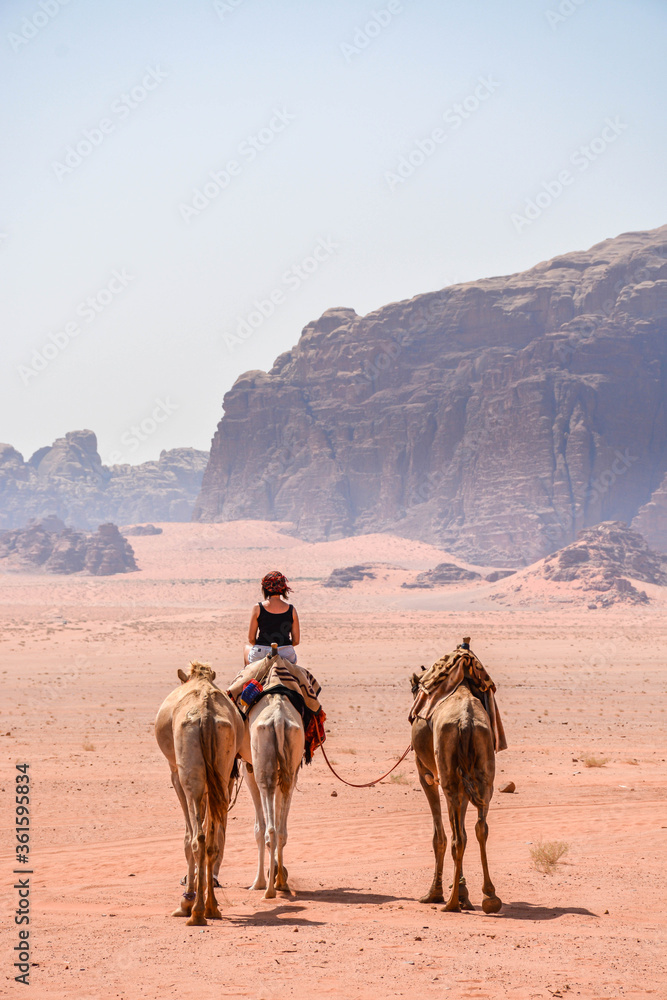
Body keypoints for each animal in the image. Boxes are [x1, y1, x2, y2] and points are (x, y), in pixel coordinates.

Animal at [155, 661, 245, 925]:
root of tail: (205, 715)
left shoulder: (175, 773)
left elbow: (187, 837)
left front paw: (186, 902)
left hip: (190, 775)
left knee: (198, 838)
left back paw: (194, 911)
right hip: (222, 769)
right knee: (212, 840)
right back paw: (212, 907)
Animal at [411, 679, 502, 913]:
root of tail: (465, 722)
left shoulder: (425, 775)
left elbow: (439, 837)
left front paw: (435, 894)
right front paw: (463, 893)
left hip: (448, 777)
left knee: (457, 837)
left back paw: (451, 903)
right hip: (483, 773)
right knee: (480, 828)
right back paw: (490, 897)